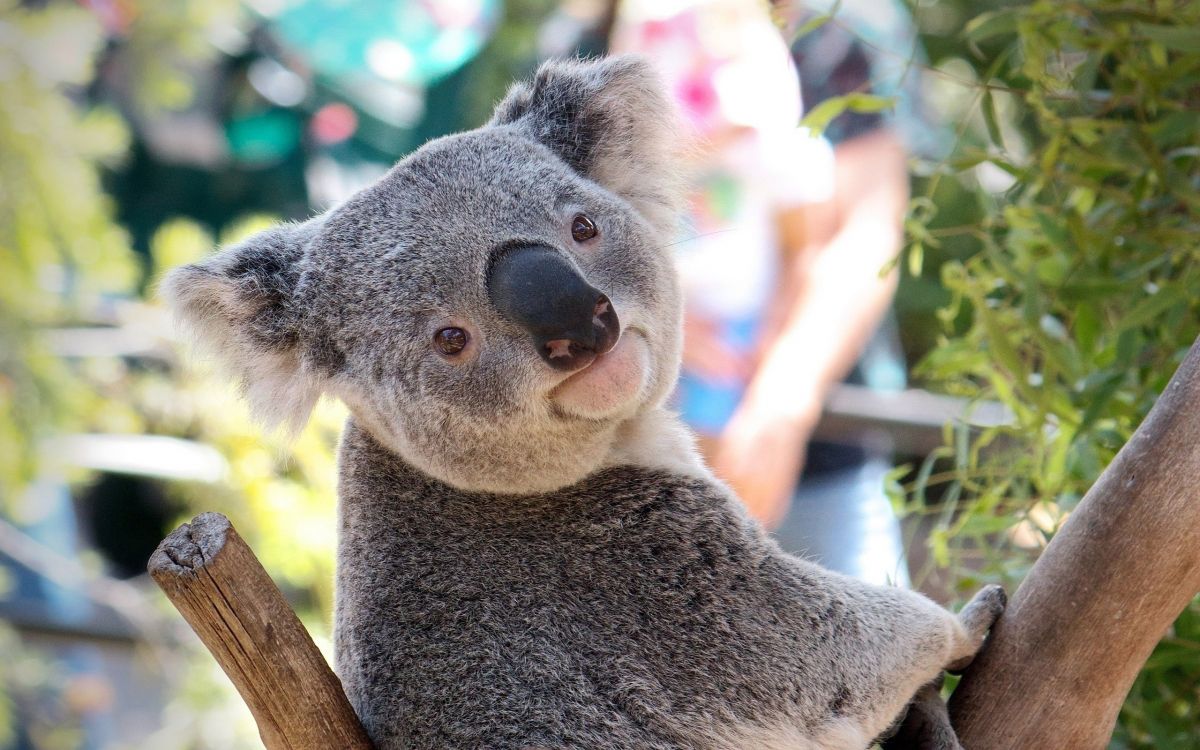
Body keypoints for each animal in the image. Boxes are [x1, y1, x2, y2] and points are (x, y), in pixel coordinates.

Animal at [162, 56, 1004, 749]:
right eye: (449, 339)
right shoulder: (646, 576)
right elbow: (827, 651)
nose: (580, 325)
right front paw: (972, 619)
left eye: (584, 227)